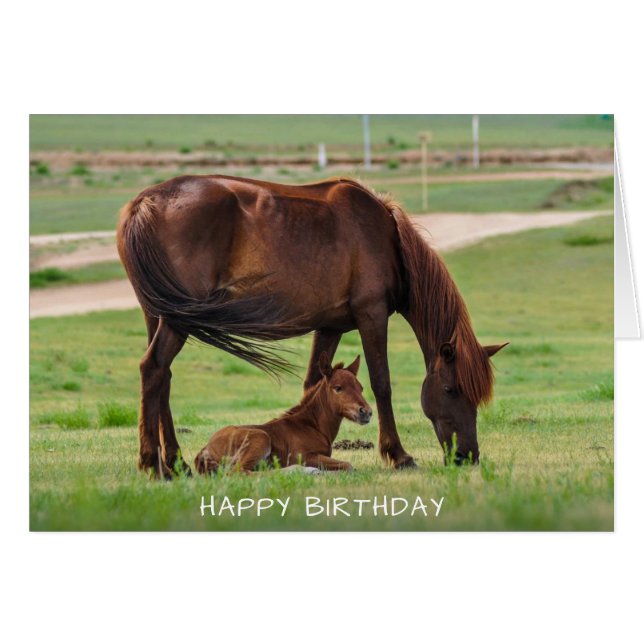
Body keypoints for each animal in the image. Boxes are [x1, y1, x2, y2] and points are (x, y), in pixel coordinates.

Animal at [194, 353, 371, 474]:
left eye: (361, 388)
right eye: (338, 388)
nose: (366, 412)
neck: (312, 426)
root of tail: (206, 449)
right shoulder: (303, 456)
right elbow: (348, 466)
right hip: (260, 438)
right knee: (239, 472)